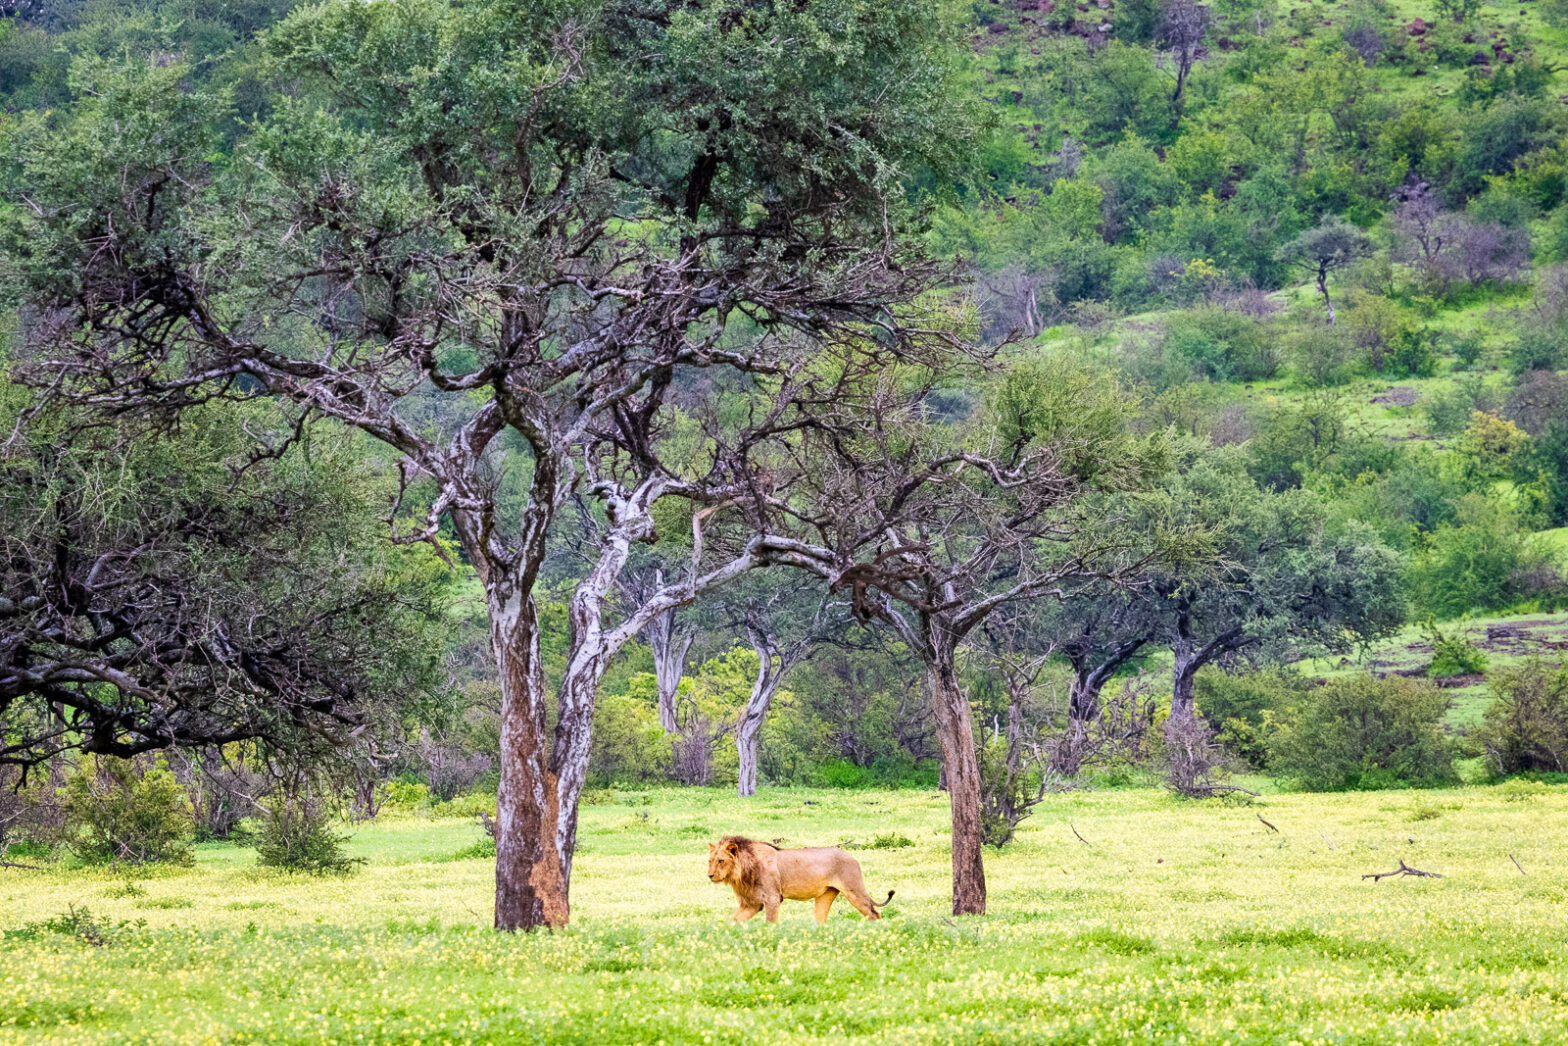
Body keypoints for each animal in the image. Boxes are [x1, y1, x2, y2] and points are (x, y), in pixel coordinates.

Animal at [706, 836, 894, 924]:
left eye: (721, 860)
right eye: (710, 860)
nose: (710, 875)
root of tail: (852, 857)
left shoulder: (773, 899)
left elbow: (770, 922)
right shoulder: (752, 903)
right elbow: (733, 921)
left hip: (854, 889)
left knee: (874, 914)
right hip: (825, 895)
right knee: (821, 920)